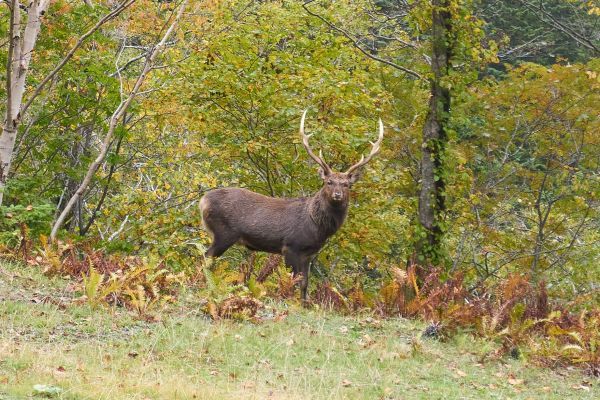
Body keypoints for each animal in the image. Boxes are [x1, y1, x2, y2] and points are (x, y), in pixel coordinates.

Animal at [199, 109, 382, 300]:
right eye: (329, 182)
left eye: (346, 184)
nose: (337, 195)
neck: (316, 226)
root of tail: (203, 201)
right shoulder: (290, 247)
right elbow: (291, 281)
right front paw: (287, 300)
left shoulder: (308, 254)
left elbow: (304, 283)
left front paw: (303, 303)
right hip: (223, 233)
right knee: (205, 258)